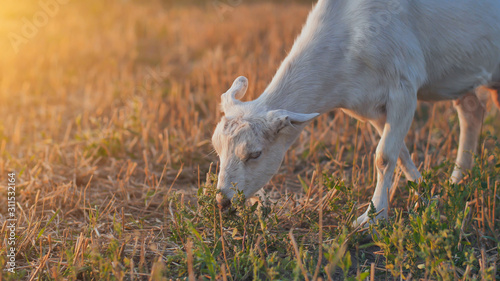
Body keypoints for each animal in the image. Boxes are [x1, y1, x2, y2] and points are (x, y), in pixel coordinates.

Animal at [211, 0, 500, 224]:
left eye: (255, 154)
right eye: (217, 149)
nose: (222, 201)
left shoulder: (403, 88)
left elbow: (384, 156)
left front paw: (372, 219)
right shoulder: (369, 106)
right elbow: (400, 153)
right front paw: (428, 197)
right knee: (471, 110)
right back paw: (457, 182)